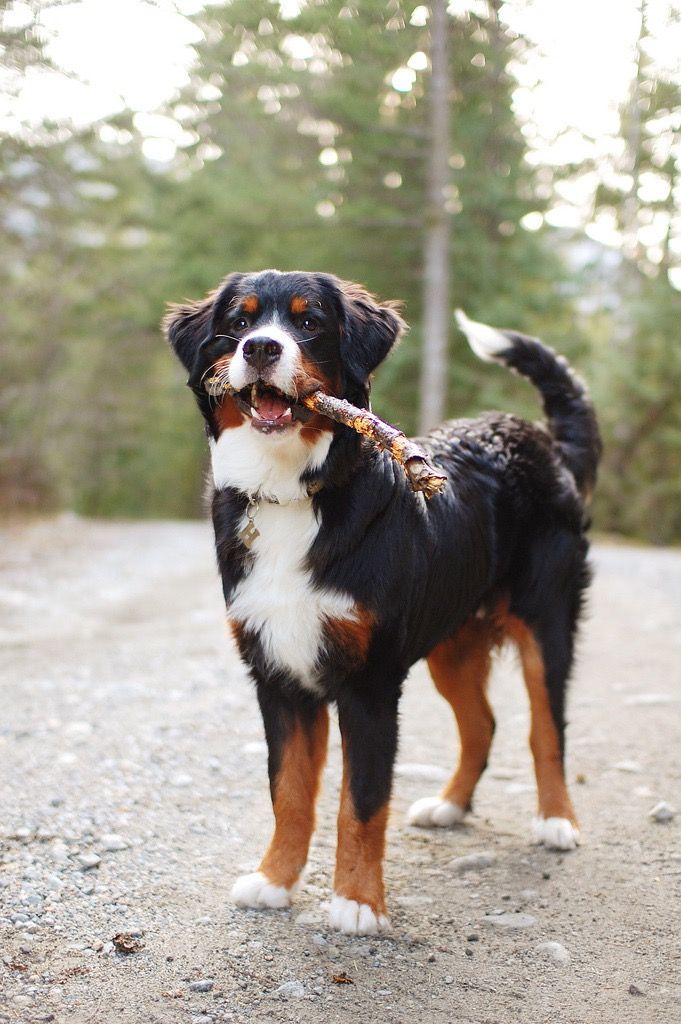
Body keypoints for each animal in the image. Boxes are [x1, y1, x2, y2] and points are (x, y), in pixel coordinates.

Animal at [164, 270, 602, 937]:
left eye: (309, 322)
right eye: (238, 323)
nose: (261, 348)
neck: (294, 495)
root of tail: (534, 436)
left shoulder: (368, 683)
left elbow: (362, 803)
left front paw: (358, 902)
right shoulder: (277, 675)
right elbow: (289, 794)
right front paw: (274, 880)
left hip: (545, 623)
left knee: (545, 730)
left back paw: (557, 821)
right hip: (452, 642)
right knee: (483, 724)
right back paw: (448, 806)